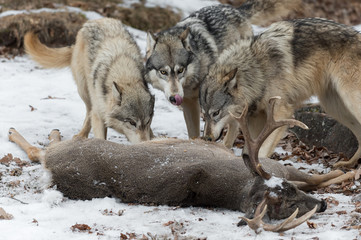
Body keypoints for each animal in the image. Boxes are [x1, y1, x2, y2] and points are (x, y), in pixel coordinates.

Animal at [23, 18, 153, 143]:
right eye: (132, 122)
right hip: (84, 91)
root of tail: (95, 20)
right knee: (89, 112)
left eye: (148, 122)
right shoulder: (98, 115)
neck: (125, 74)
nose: (144, 144)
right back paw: (81, 135)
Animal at [145, 0, 300, 139]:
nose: (175, 97)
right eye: (163, 72)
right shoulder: (189, 103)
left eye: (180, 70)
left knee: (234, 126)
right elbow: (193, 134)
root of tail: (236, 10)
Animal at [201, 17, 360, 169]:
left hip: (350, 102)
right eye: (204, 115)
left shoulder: (281, 112)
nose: (206, 139)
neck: (257, 70)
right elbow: (251, 148)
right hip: (334, 108)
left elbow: (262, 151)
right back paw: (348, 164)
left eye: (216, 113)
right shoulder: (255, 119)